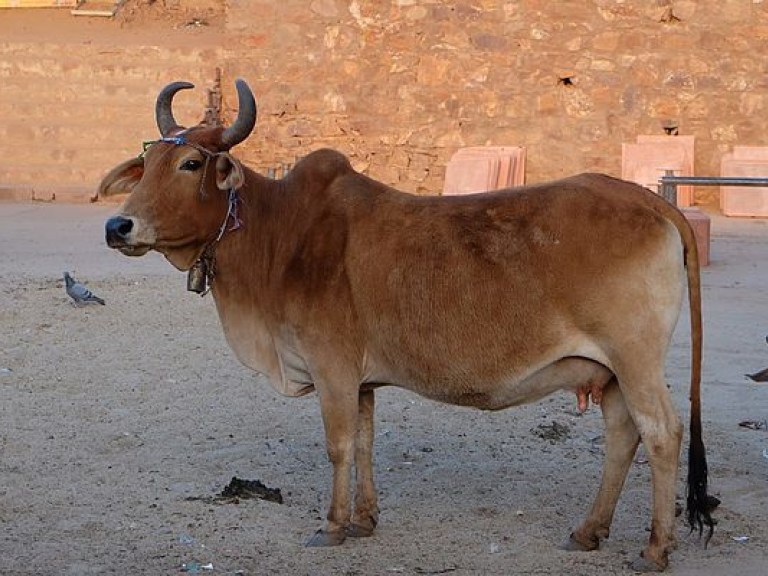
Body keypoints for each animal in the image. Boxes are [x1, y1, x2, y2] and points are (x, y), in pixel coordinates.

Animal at [100, 80, 712, 572]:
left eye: (190, 164)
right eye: (146, 164)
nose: (117, 226)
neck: (280, 234)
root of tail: (652, 203)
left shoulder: (332, 367)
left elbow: (339, 445)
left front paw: (331, 526)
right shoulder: (362, 380)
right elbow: (365, 442)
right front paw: (364, 520)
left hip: (635, 359)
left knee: (662, 434)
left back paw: (654, 549)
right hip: (609, 372)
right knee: (622, 436)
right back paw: (588, 532)